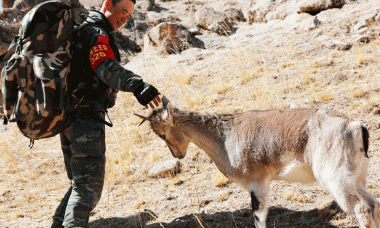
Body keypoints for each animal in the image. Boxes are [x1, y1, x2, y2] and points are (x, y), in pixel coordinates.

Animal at [135, 97, 378, 227]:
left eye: (163, 133)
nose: (177, 155)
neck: (223, 136)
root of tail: (355, 127)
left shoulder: (257, 184)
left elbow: (258, 218)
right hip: (356, 178)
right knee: (372, 203)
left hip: (335, 179)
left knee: (361, 208)